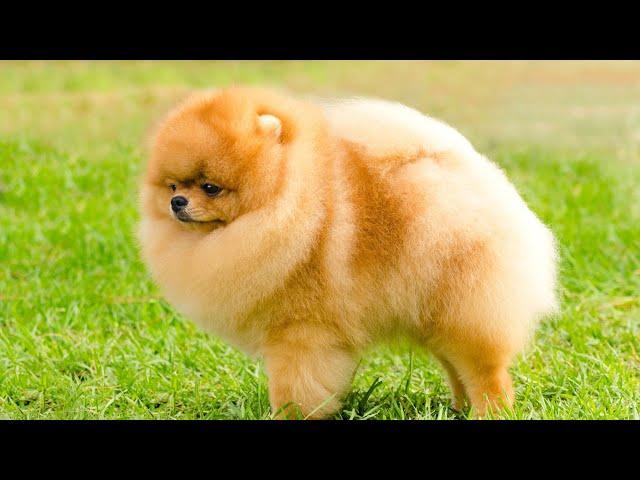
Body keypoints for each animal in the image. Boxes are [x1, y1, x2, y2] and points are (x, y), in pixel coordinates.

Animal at [139, 88, 556, 418]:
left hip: (466, 307)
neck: (287, 206)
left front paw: (287, 416)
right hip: (434, 315)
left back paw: (491, 410)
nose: (177, 202)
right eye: (173, 185)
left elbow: (294, 388)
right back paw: (459, 408)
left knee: (486, 372)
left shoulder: (300, 335)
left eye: (210, 187)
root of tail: (477, 175)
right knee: (456, 367)